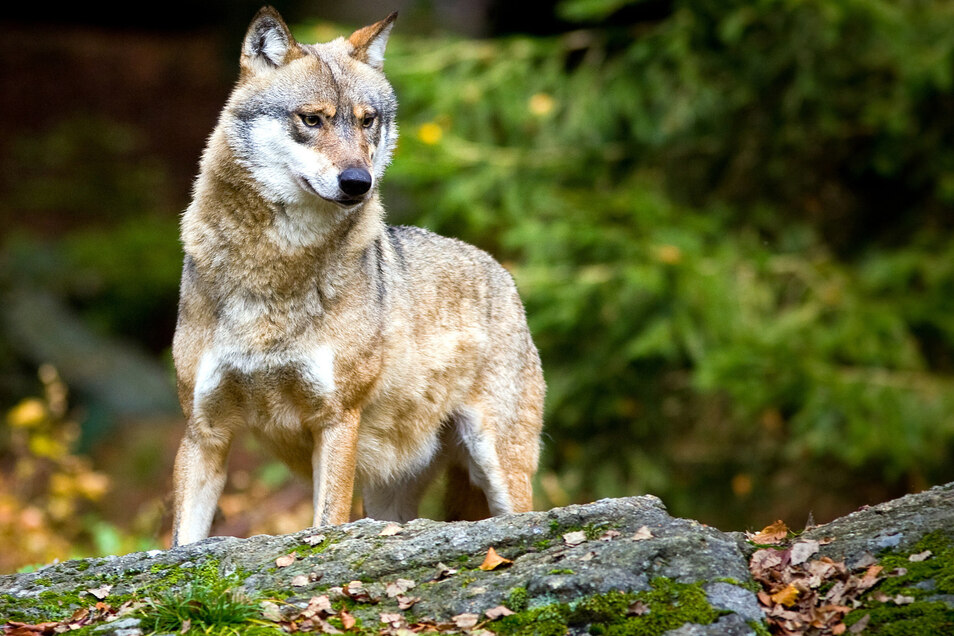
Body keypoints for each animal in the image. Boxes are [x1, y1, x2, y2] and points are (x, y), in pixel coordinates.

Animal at [171, 4, 544, 544]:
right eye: (312, 119)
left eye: (368, 122)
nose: (357, 182)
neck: (274, 269)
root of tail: (502, 271)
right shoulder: (204, 431)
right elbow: (181, 540)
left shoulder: (337, 419)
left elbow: (327, 522)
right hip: (390, 496)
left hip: (498, 468)